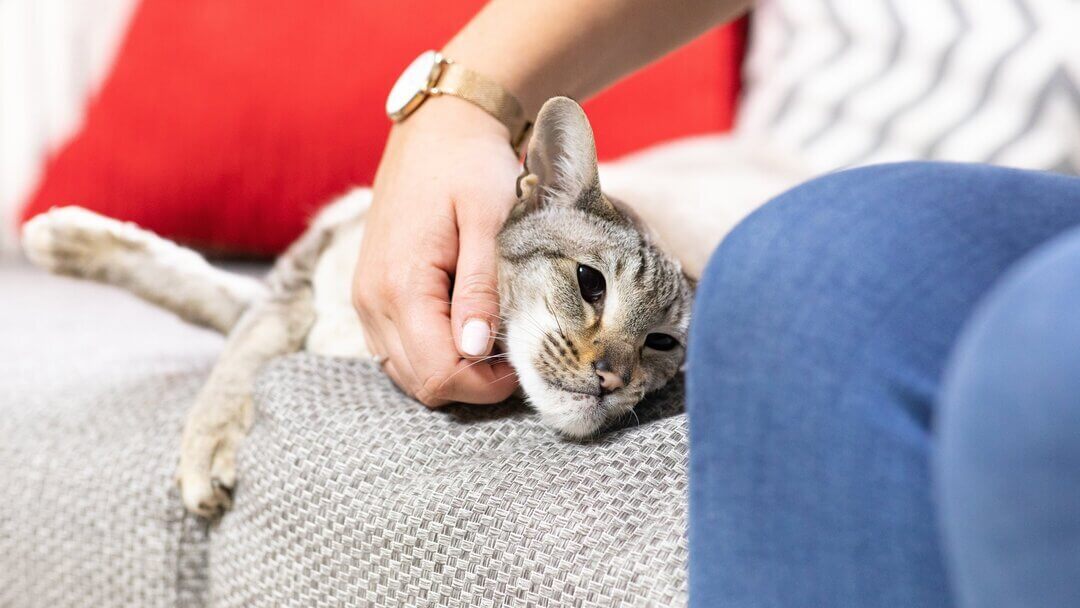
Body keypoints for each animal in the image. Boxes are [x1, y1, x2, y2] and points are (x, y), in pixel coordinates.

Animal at [23, 96, 691, 518]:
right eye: (590, 283)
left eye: (662, 344)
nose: (613, 380)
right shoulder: (299, 273)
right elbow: (227, 332)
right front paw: (68, 240)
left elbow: (233, 335)